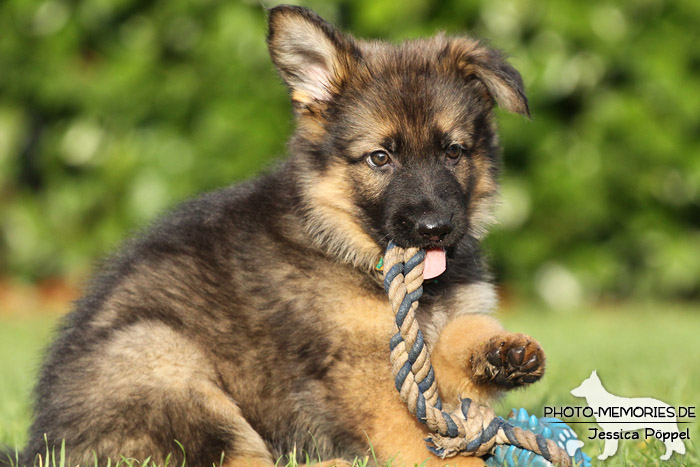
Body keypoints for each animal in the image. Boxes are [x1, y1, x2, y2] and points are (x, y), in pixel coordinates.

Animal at [19, 4, 540, 467]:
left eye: (453, 152)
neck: (342, 243)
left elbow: (458, 336)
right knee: (236, 459)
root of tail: (42, 446)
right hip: (159, 357)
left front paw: (501, 352)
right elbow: (418, 439)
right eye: (379, 158)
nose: (435, 229)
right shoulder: (365, 374)